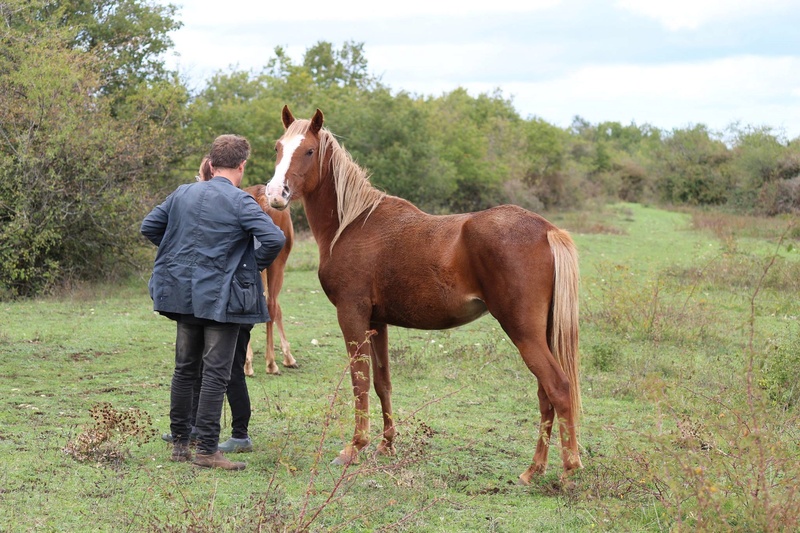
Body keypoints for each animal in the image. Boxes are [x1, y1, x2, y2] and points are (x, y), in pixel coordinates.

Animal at [264, 105, 580, 482]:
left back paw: (568, 470)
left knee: (558, 388)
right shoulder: (377, 322)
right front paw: (386, 444)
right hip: (540, 333)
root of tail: (547, 230)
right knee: (545, 394)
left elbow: (359, 381)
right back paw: (533, 469)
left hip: (523, 332)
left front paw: (354, 448)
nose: (275, 194)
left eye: (309, 151)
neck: (353, 224)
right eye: (278, 147)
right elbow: (382, 382)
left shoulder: (352, 315)